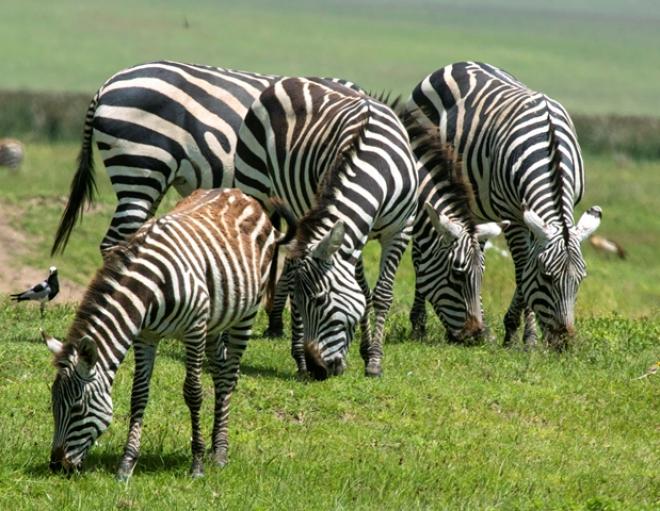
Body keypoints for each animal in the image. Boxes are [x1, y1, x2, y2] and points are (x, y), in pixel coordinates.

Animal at [43, 188, 296, 479]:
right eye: (53, 405)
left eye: (77, 408)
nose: (56, 466)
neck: (148, 290)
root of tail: (241, 195)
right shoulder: (146, 336)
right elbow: (138, 394)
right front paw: (127, 463)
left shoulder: (194, 329)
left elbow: (193, 392)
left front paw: (197, 464)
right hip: (215, 322)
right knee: (220, 373)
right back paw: (215, 447)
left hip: (245, 314)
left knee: (229, 375)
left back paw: (220, 453)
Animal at [234, 77, 418, 378]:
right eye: (299, 303)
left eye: (320, 300)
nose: (317, 369)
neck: (376, 167)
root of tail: (291, 79)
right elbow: (362, 290)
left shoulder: (399, 230)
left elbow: (379, 294)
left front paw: (373, 359)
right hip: (254, 185)